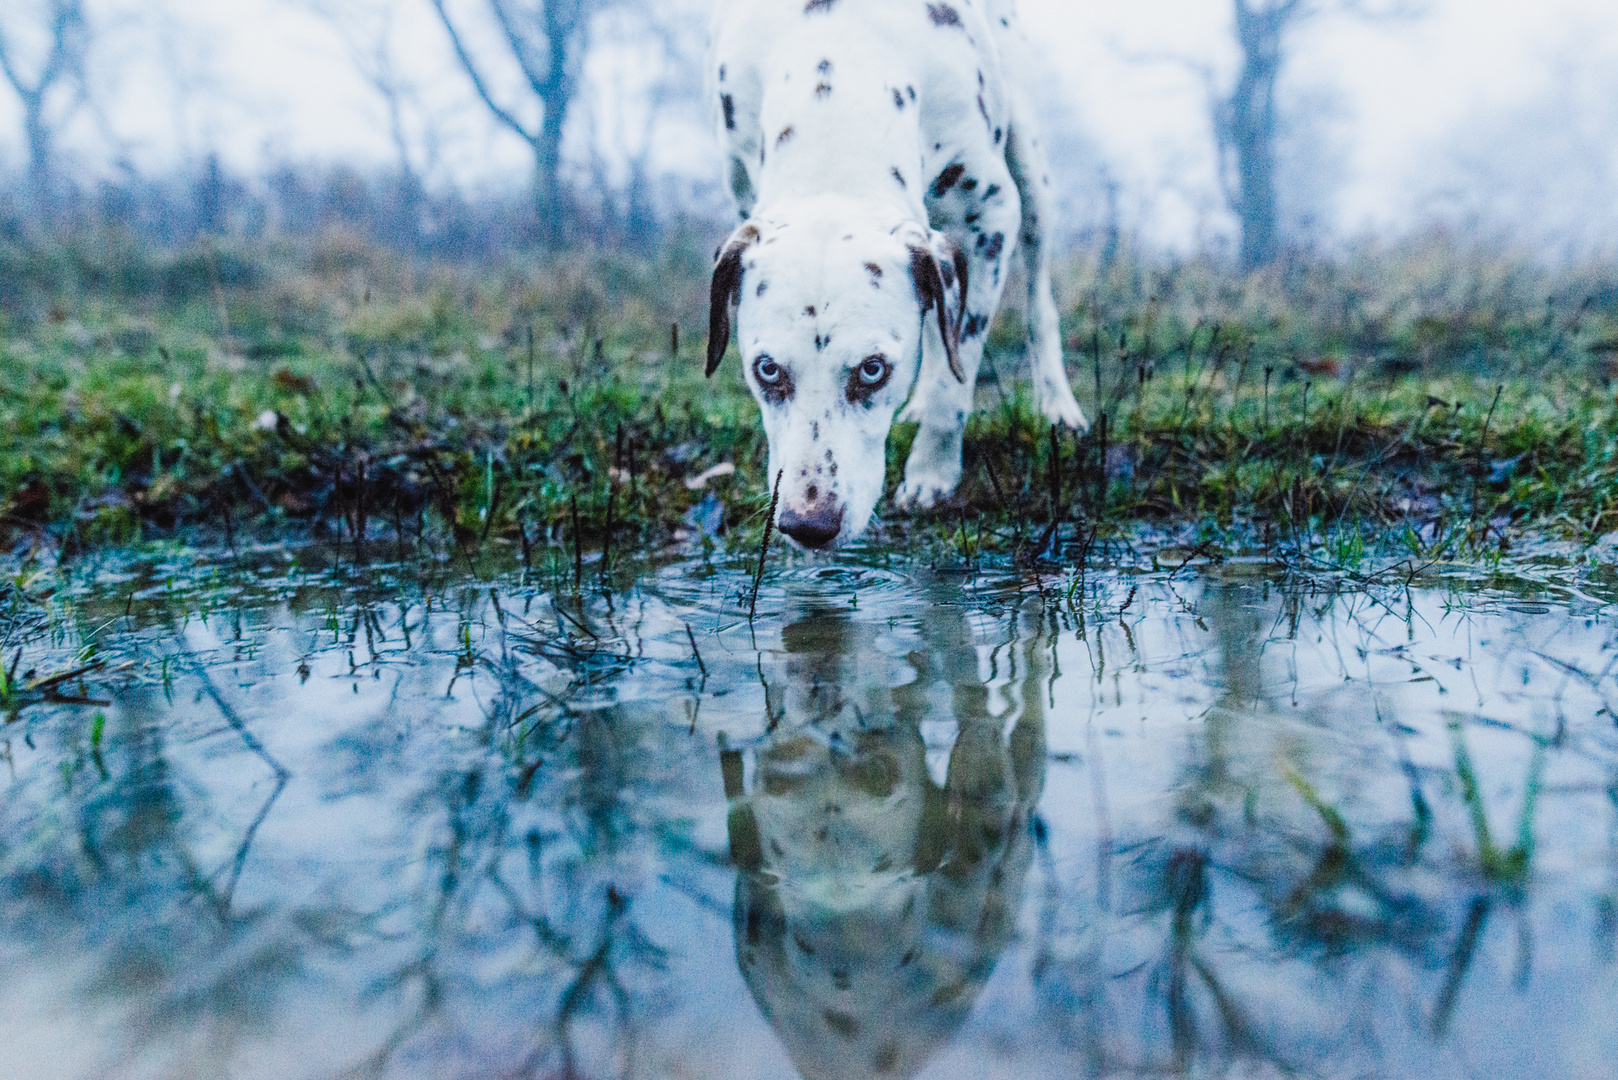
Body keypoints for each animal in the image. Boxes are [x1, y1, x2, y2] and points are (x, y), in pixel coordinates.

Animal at [705, 0, 1087, 550]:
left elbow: (956, 377)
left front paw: (932, 474)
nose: (809, 524)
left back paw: (1057, 404)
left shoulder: (990, 215)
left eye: (872, 369)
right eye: (767, 369)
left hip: (1030, 173)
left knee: (1037, 300)